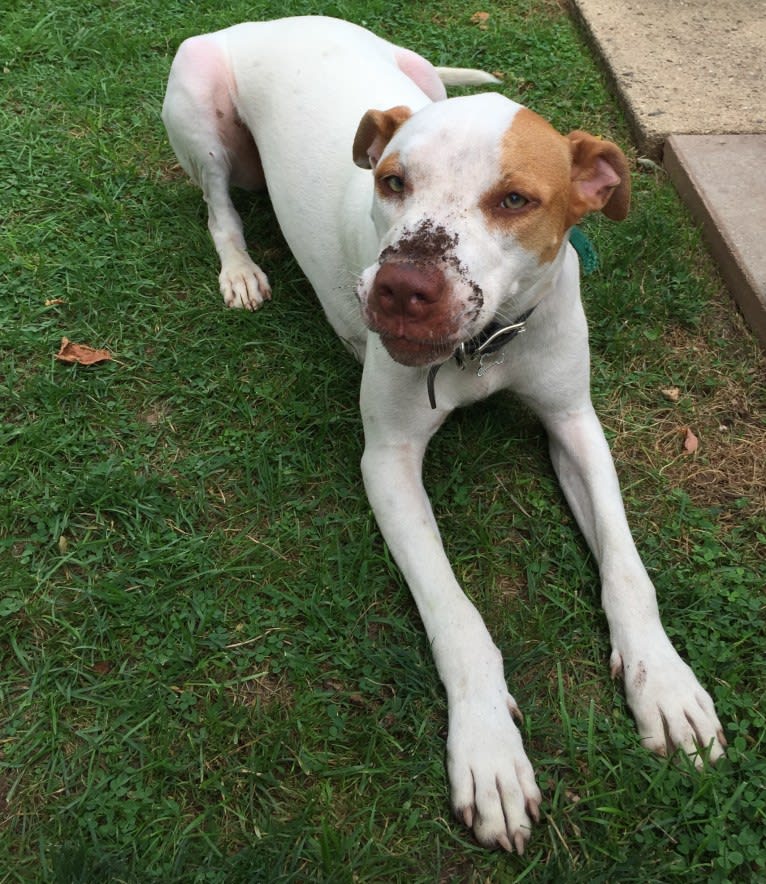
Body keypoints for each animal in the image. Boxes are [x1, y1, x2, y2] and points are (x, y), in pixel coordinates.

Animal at [162, 17, 728, 852]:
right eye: (394, 182)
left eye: (517, 199)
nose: (404, 287)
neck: (485, 346)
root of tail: (273, 19)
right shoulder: (389, 462)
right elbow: (456, 615)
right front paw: (489, 747)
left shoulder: (575, 422)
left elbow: (628, 568)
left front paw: (667, 682)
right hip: (198, 104)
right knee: (219, 209)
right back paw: (239, 269)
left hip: (417, 74)